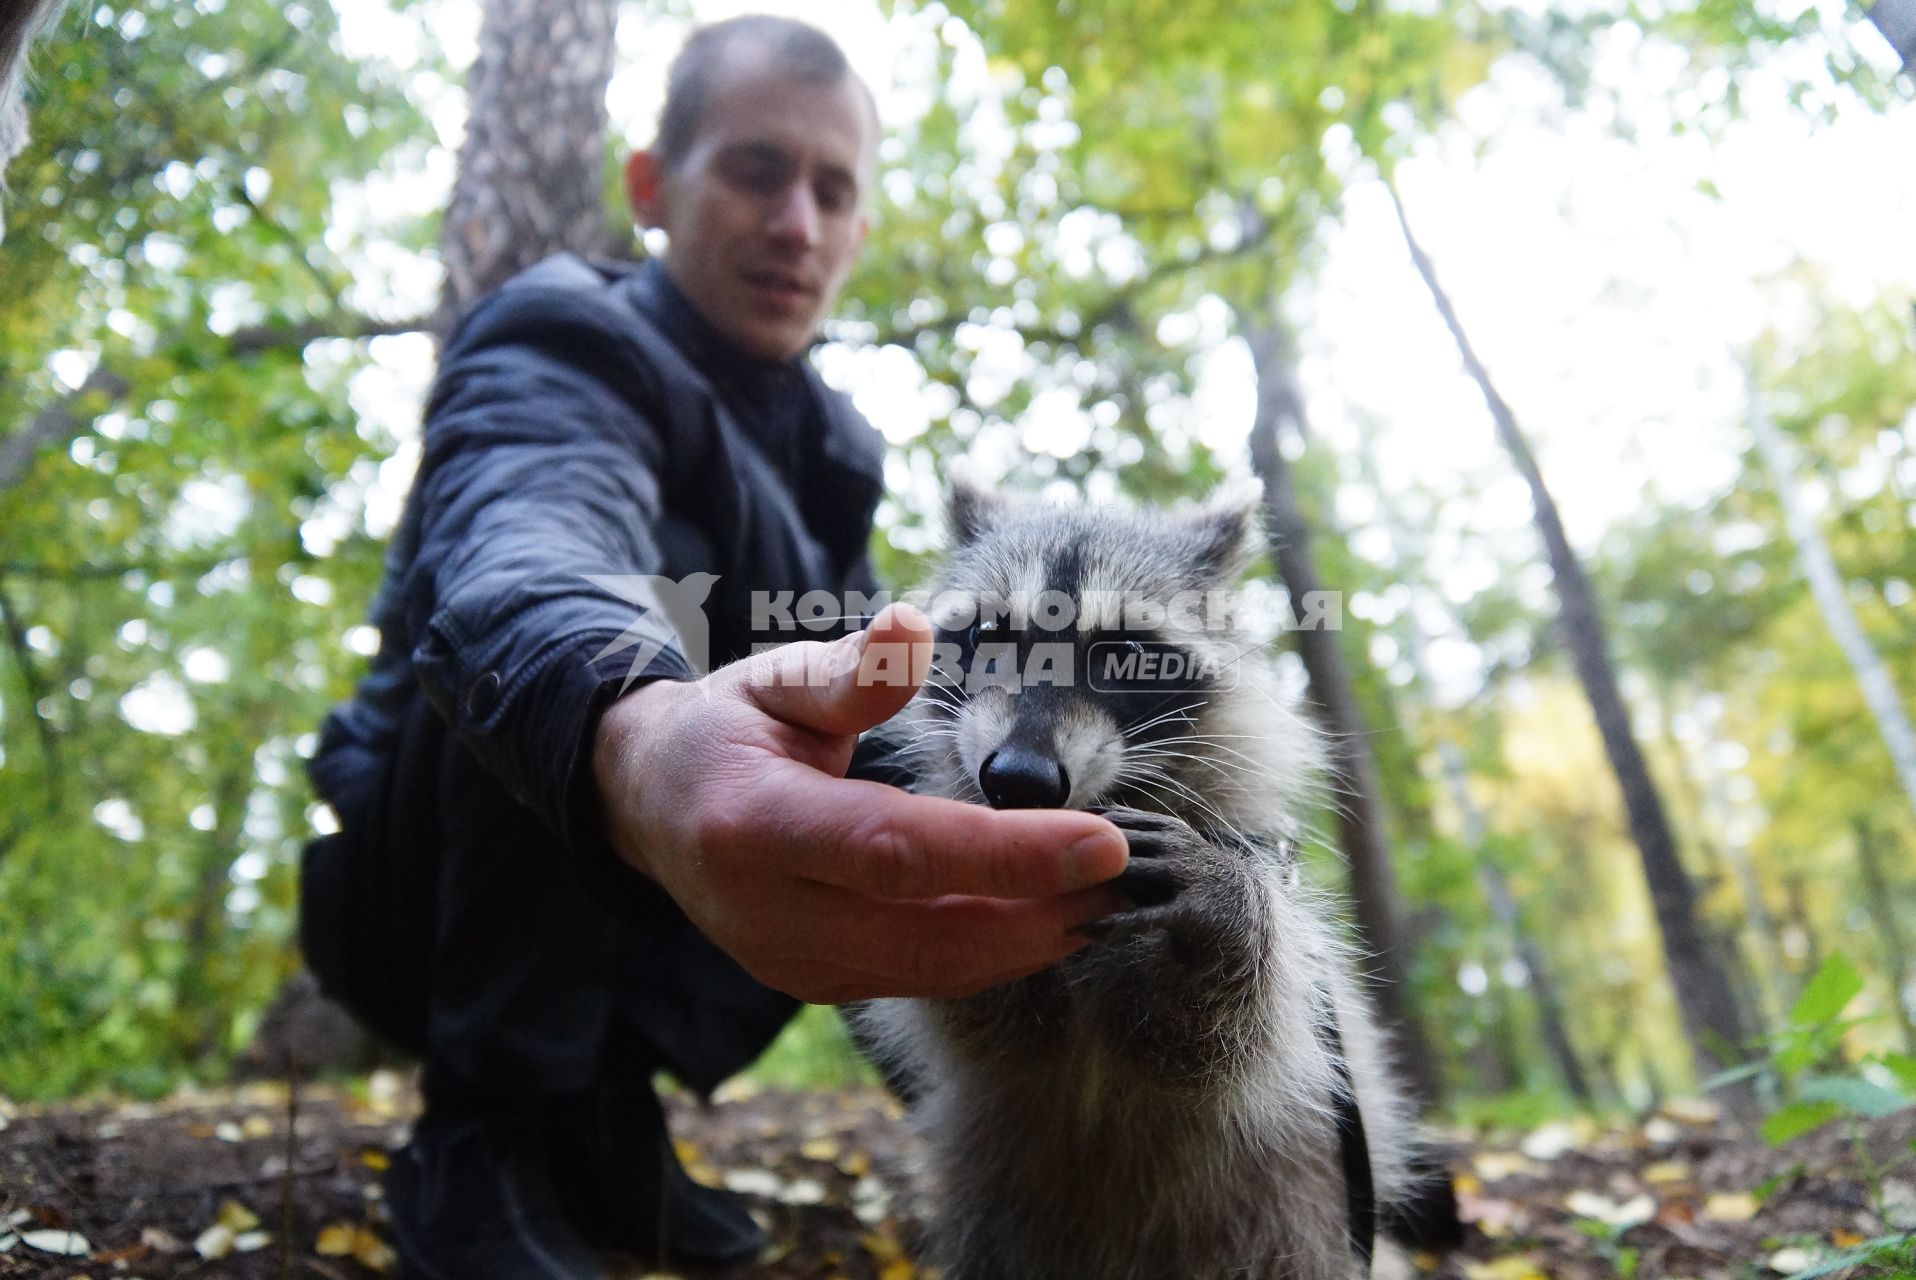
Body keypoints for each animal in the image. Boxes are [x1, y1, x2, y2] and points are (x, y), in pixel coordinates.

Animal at [854, 479, 1425, 1280]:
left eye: (1121, 652)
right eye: (991, 636)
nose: (1019, 780)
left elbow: (1217, 1043)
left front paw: (1225, 911)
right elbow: (988, 1024)